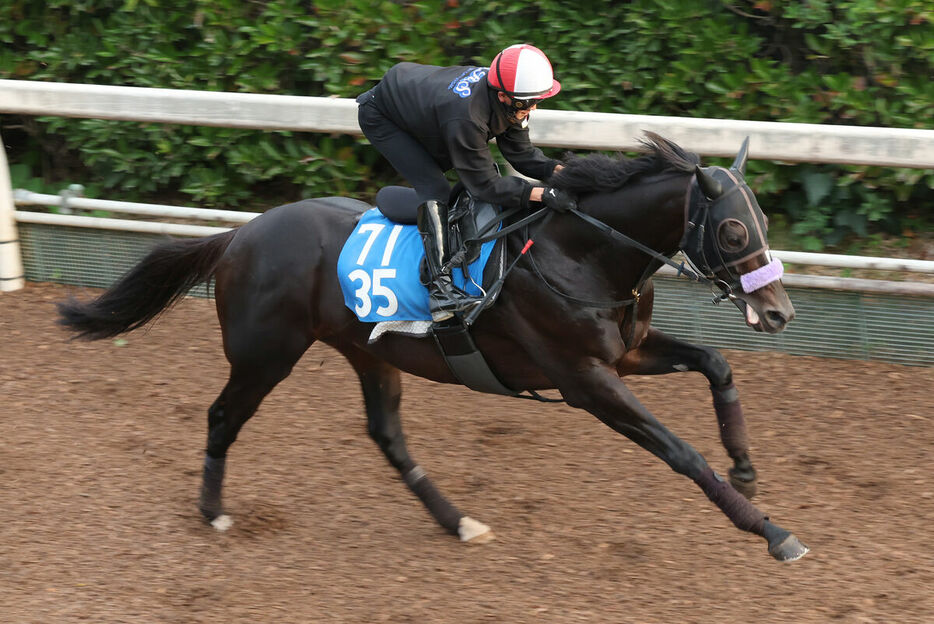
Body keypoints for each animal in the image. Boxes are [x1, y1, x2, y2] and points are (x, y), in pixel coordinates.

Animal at [54, 134, 808, 564]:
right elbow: (680, 452)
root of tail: (239, 235)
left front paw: (745, 468)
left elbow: (716, 363)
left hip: (368, 352)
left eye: (766, 221)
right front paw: (769, 530)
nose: (778, 311)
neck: (579, 252)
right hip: (266, 354)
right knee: (222, 417)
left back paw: (459, 523)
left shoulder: (625, 353)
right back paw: (212, 511)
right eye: (733, 231)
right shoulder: (584, 379)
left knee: (387, 435)